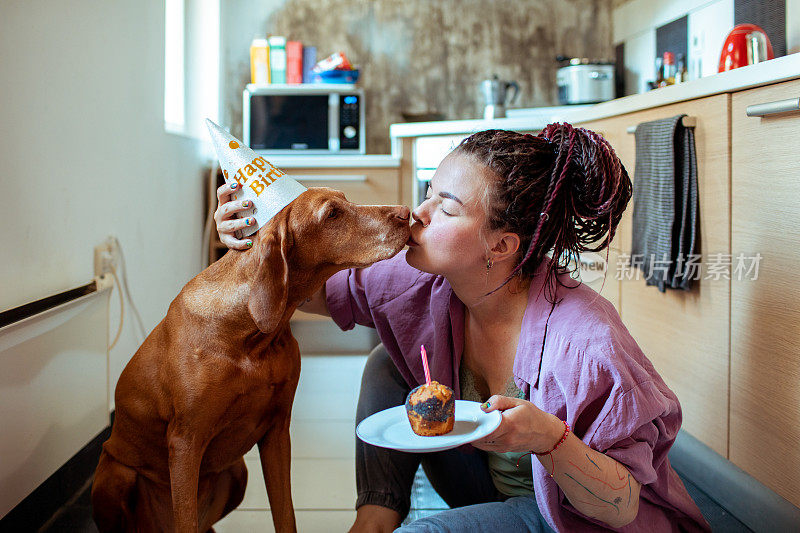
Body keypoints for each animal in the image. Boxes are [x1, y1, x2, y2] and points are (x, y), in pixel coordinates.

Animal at [90, 189, 410, 528]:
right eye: (332, 213)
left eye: (345, 199)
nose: (406, 213)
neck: (250, 337)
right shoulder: (185, 441)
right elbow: (186, 520)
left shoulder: (277, 430)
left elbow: (285, 513)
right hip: (114, 474)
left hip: (237, 471)